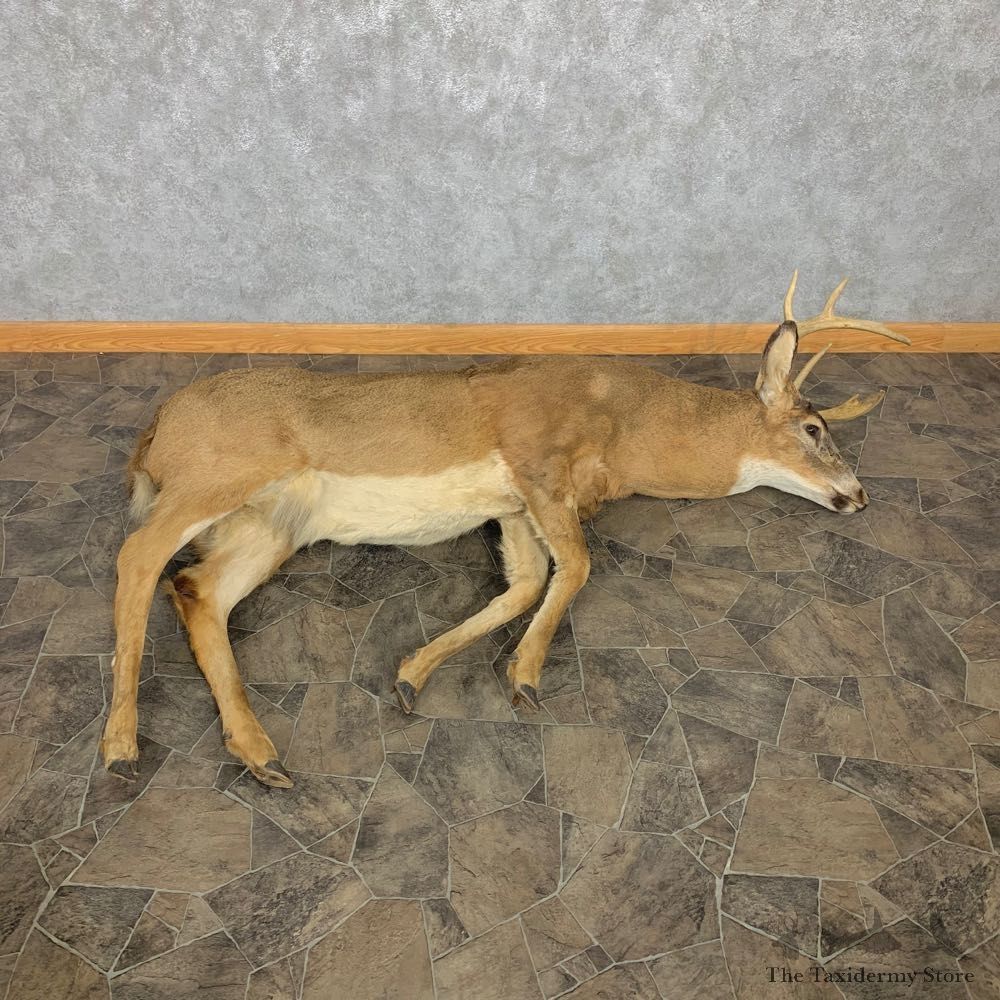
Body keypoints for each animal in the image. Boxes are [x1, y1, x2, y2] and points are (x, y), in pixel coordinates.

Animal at [100, 273, 908, 787]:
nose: (859, 495)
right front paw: (525, 677)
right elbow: (577, 568)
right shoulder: (538, 463)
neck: (632, 428)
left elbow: (526, 583)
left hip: (272, 524)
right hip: (219, 475)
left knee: (196, 588)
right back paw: (120, 745)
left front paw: (411, 674)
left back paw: (262, 754)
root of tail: (156, 430)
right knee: (138, 556)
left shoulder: (514, 508)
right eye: (813, 427)